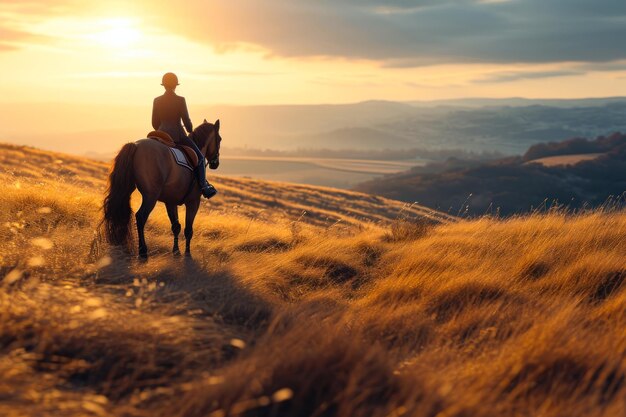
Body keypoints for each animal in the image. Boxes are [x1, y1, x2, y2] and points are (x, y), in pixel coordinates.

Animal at [101, 118, 221, 258]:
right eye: (219, 139)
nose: (215, 164)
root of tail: (136, 146)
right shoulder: (193, 202)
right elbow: (188, 229)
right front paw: (187, 253)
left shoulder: (171, 202)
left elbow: (176, 226)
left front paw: (176, 251)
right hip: (150, 196)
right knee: (141, 216)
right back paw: (143, 250)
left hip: (128, 189)